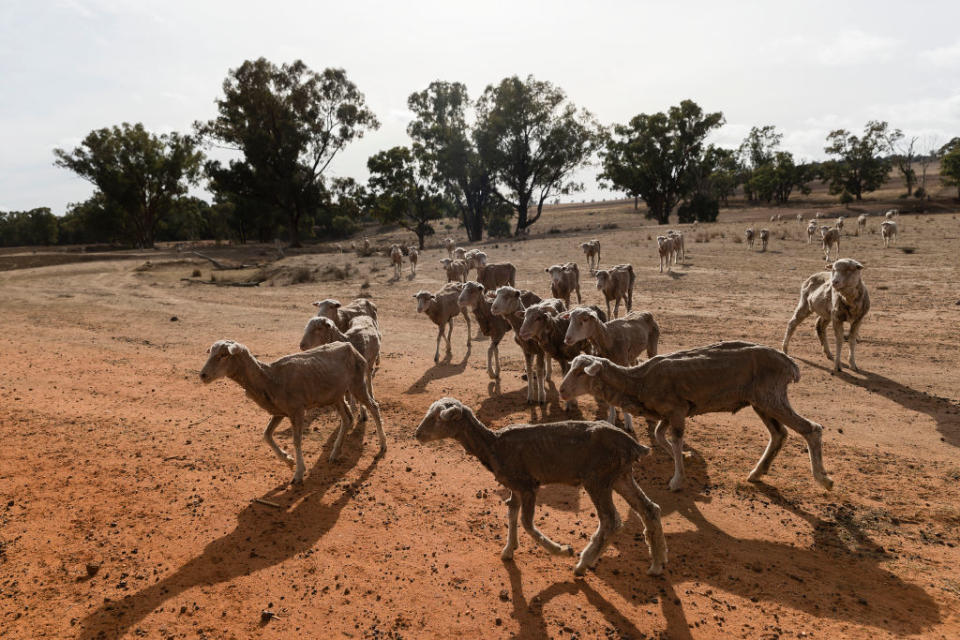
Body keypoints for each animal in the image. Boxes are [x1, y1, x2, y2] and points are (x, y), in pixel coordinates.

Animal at [200, 340, 386, 484]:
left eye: (223, 355)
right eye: (211, 353)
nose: (202, 375)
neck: (269, 378)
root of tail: (351, 347)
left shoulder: (297, 410)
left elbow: (296, 440)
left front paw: (298, 472)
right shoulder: (280, 412)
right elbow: (266, 435)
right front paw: (288, 460)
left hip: (357, 383)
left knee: (374, 407)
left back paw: (383, 445)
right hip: (335, 395)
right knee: (347, 418)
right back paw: (334, 453)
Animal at [412, 398, 668, 576]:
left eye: (438, 418)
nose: (417, 434)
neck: (493, 446)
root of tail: (634, 446)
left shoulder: (528, 486)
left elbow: (527, 523)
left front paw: (561, 550)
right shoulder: (514, 487)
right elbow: (511, 513)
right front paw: (508, 550)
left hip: (598, 479)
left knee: (611, 521)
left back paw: (582, 563)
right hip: (620, 476)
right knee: (650, 509)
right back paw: (656, 565)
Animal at [560, 342, 836, 492]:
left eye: (581, 372)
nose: (562, 391)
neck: (638, 382)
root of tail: (789, 363)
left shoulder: (677, 410)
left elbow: (674, 438)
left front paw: (676, 480)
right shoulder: (669, 412)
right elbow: (660, 436)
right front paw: (684, 457)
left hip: (771, 396)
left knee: (811, 429)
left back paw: (823, 479)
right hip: (761, 400)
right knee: (779, 434)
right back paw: (757, 472)